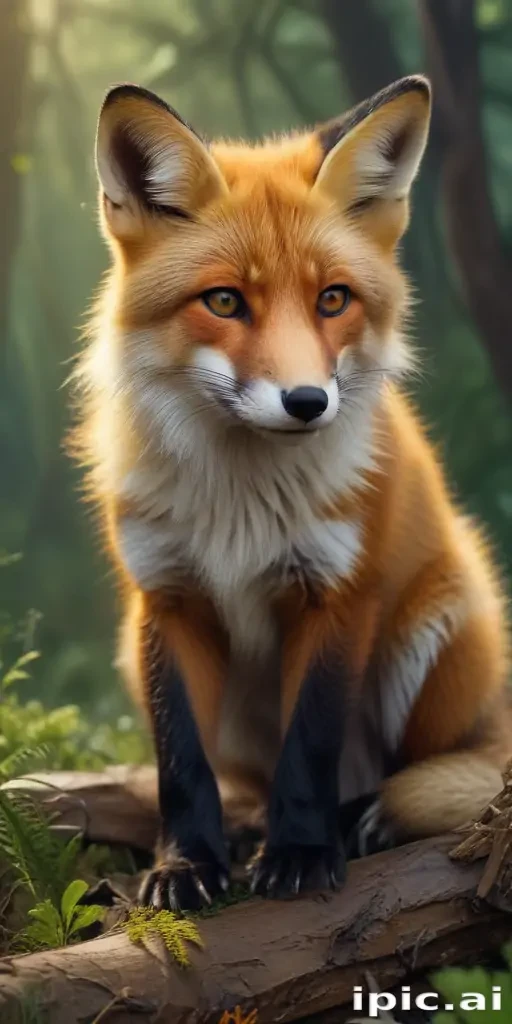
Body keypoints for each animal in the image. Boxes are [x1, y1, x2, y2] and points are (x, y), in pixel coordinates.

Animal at [73, 74, 511, 911]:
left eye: (332, 300)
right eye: (224, 302)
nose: (308, 402)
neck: (241, 505)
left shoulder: (337, 592)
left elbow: (310, 742)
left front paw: (303, 852)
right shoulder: (166, 599)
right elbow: (181, 762)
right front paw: (186, 863)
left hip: (435, 626)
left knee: (438, 770)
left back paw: (358, 820)